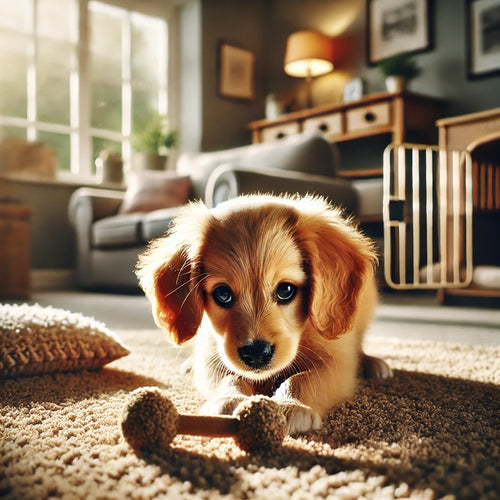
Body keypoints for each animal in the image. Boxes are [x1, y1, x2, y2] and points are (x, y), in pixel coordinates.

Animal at [137, 194, 390, 434]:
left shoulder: (337, 360)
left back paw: (374, 364)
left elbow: (303, 379)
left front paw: (291, 404)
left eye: (286, 290)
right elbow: (228, 375)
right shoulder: (212, 350)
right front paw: (230, 398)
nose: (256, 353)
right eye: (223, 294)